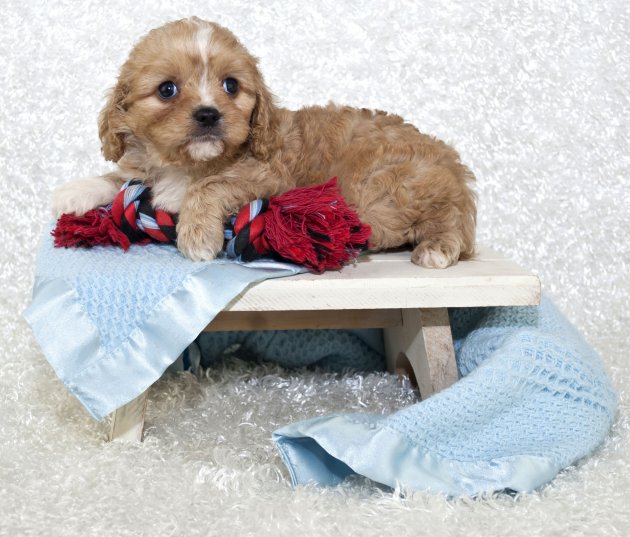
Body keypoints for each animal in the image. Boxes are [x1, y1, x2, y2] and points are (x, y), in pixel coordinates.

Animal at [54, 17, 476, 268]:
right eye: (167, 90)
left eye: (231, 85)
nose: (208, 114)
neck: (188, 164)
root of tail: (451, 160)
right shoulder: (145, 167)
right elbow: (118, 177)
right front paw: (74, 192)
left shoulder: (270, 176)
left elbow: (211, 185)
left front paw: (196, 233)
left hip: (385, 189)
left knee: (446, 217)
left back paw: (437, 247)